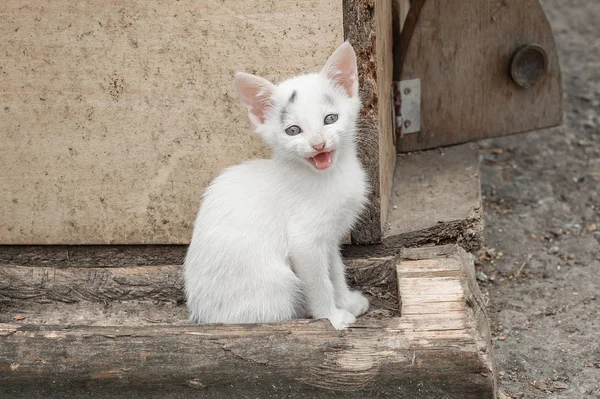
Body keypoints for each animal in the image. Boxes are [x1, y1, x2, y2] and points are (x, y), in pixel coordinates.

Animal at [184, 41, 370, 332]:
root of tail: (203, 315)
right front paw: (331, 316)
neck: (330, 175)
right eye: (293, 130)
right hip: (277, 285)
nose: (318, 144)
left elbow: (335, 269)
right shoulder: (305, 241)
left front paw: (346, 301)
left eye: (330, 119)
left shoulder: (329, 238)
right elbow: (319, 281)